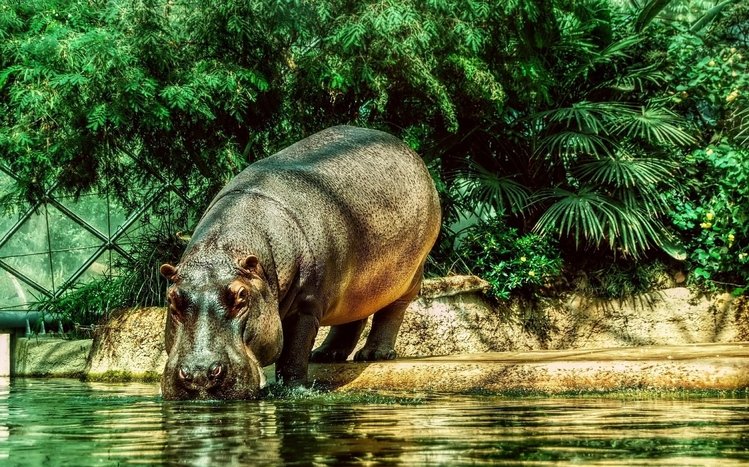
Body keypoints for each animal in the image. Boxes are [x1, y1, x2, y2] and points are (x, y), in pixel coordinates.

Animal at [159, 125, 441, 400]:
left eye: (241, 296)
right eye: (172, 299)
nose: (200, 375)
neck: (223, 250)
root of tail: (408, 150)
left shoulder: (306, 305)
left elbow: (294, 352)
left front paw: (293, 390)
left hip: (410, 274)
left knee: (392, 311)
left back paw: (374, 354)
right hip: (357, 284)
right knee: (353, 317)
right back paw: (325, 355)